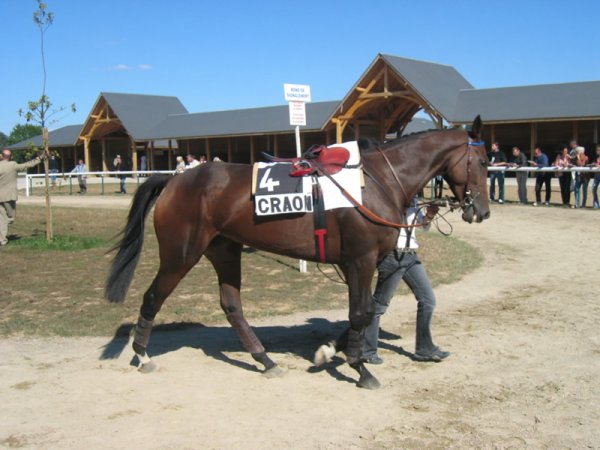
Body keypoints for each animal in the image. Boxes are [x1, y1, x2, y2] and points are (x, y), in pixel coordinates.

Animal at [105, 118, 490, 388]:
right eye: (485, 161)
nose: (482, 211)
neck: (376, 181)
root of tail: (175, 179)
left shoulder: (371, 261)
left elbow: (366, 311)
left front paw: (331, 352)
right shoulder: (361, 259)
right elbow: (362, 313)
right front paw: (360, 369)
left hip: (225, 250)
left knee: (231, 305)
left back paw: (265, 360)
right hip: (180, 254)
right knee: (152, 297)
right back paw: (142, 356)